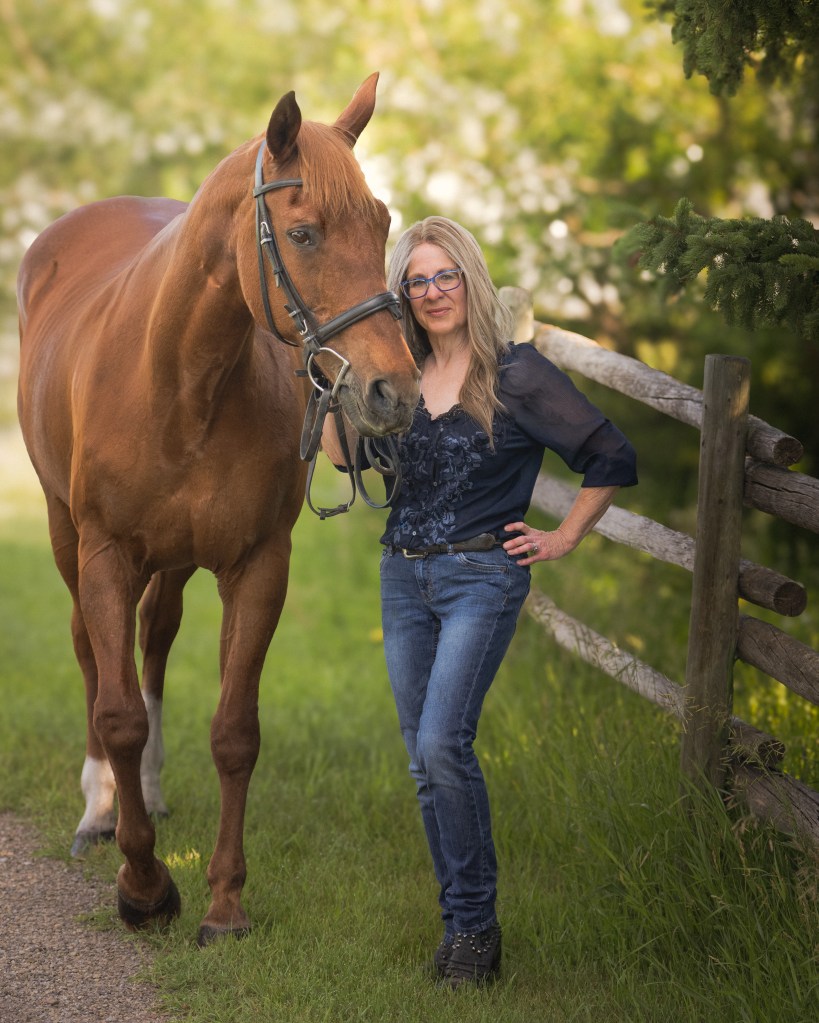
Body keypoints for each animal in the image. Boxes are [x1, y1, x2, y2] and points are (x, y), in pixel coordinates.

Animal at [16, 73, 420, 945]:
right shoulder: (105, 553)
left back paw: (149, 789)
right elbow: (117, 713)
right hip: (68, 534)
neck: (181, 380)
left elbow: (235, 732)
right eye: (302, 233)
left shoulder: (257, 564)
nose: (393, 391)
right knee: (93, 654)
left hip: (171, 560)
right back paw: (101, 806)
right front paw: (143, 887)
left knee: (156, 639)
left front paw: (224, 902)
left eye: (381, 224)